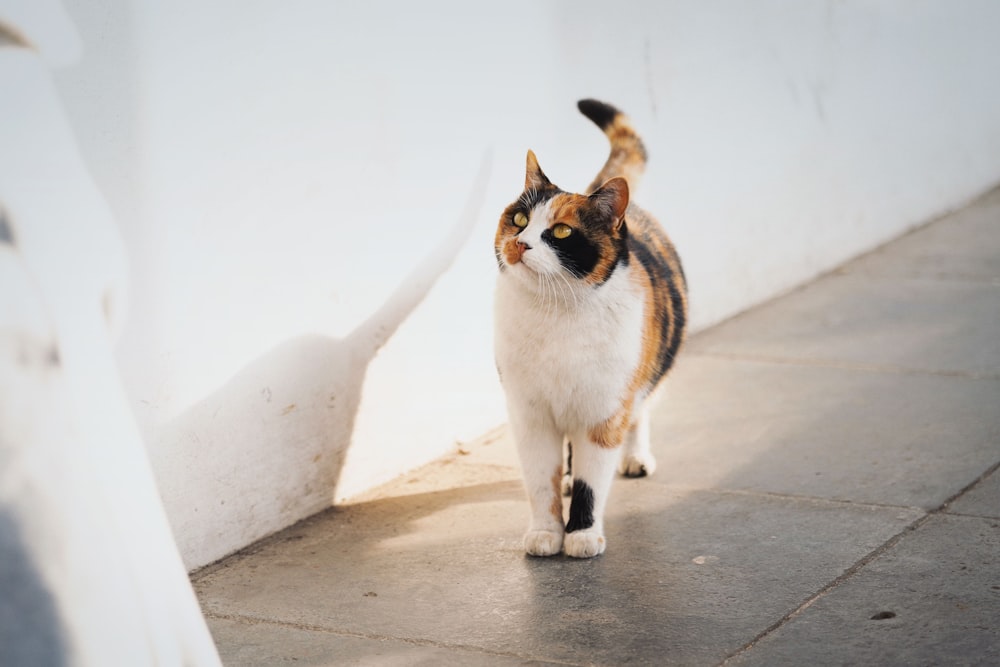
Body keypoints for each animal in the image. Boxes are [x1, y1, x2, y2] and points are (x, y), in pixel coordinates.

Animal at [492, 99, 688, 560]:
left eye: (562, 231)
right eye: (520, 218)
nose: (520, 243)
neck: (555, 314)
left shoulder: (604, 413)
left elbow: (592, 483)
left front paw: (582, 535)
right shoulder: (530, 415)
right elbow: (539, 482)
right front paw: (546, 532)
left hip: (646, 377)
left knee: (640, 414)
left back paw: (635, 458)